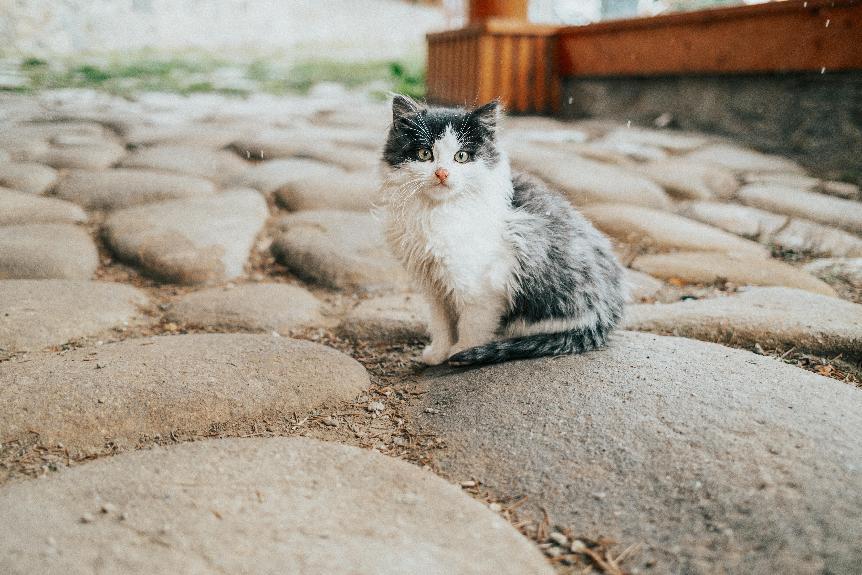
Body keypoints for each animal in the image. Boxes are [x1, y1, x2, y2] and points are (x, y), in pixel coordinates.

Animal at [382, 94, 624, 364]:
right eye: (424, 154)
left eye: (461, 157)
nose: (441, 173)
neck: (437, 212)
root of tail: (605, 317)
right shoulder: (433, 287)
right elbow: (441, 324)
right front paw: (437, 354)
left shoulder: (480, 287)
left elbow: (471, 326)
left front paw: (459, 352)